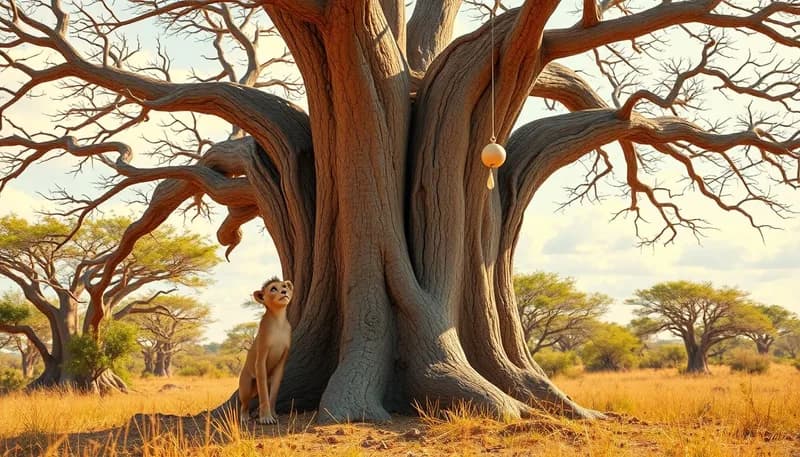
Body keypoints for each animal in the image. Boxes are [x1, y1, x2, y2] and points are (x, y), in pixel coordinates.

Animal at [238, 277, 293, 425]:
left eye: (284, 286)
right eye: (273, 289)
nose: (284, 292)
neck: (279, 320)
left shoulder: (282, 362)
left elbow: (273, 393)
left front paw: (273, 414)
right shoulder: (261, 357)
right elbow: (264, 393)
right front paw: (266, 417)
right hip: (246, 386)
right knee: (244, 404)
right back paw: (245, 417)